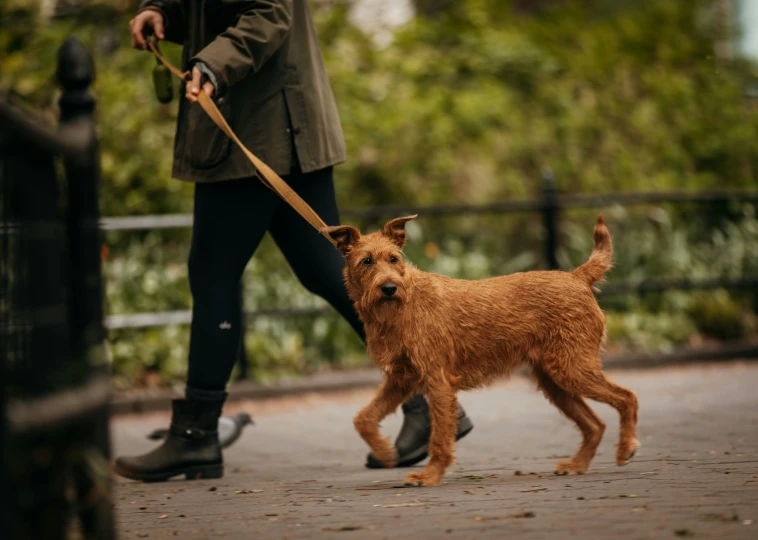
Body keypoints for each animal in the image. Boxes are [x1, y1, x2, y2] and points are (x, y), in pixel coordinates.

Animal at [324, 216, 640, 490]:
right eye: (366, 261)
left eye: (393, 259)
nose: (389, 287)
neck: (403, 305)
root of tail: (577, 277)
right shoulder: (401, 380)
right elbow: (364, 418)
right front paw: (386, 453)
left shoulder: (438, 382)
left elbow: (440, 437)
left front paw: (430, 475)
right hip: (555, 381)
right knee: (595, 424)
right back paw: (577, 464)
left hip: (572, 369)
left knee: (627, 398)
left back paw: (625, 448)